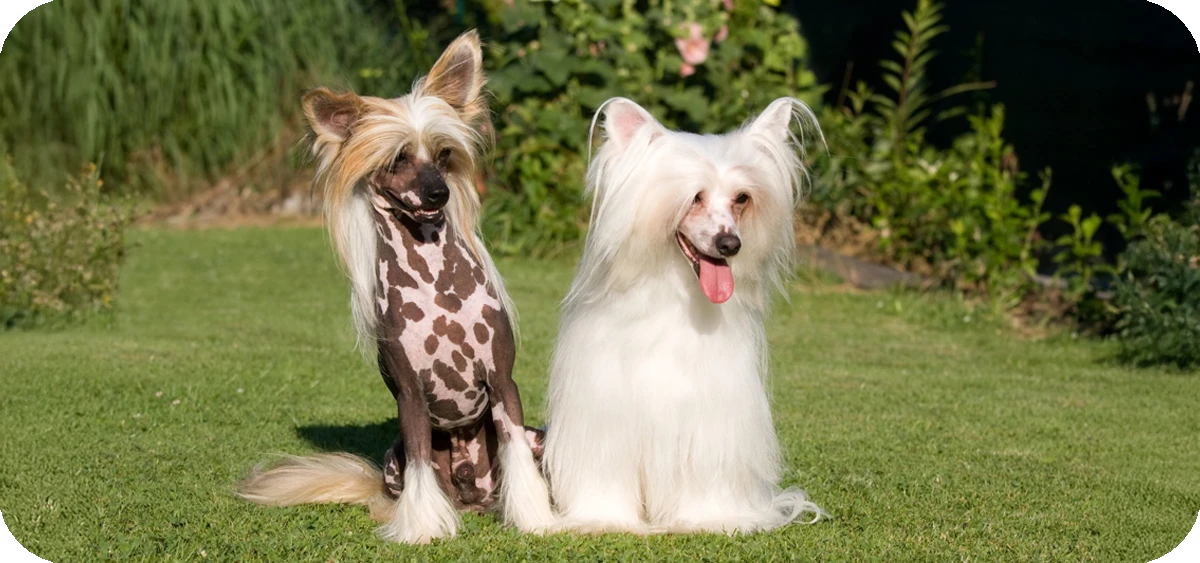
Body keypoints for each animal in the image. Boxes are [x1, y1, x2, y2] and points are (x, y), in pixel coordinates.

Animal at [237, 30, 555, 544]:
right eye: (397, 158)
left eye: (444, 155)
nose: (438, 193)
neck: (437, 281)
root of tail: (474, 498)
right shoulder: (411, 398)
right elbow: (422, 466)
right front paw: (422, 528)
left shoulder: (503, 383)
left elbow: (518, 459)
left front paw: (535, 520)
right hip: (391, 459)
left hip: (537, 434)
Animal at [542, 97, 825, 535]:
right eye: (695, 197)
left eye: (742, 198)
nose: (730, 244)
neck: (677, 296)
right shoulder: (605, 416)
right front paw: (604, 518)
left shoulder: (711, 417)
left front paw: (711, 518)